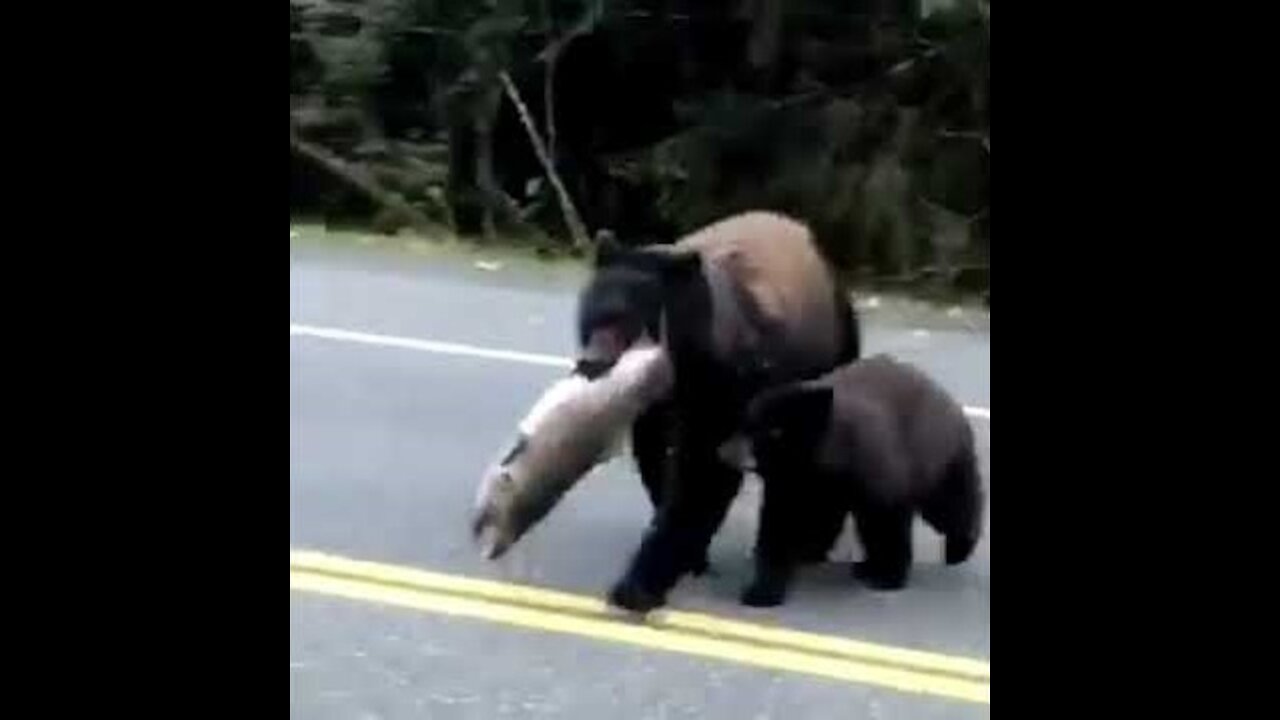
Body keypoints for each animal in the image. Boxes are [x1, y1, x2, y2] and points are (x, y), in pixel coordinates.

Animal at [573, 210, 860, 607]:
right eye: (595, 316)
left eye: (629, 322)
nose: (591, 363)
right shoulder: (663, 403)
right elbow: (664, 464)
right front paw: (676, 559)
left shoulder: (733, 387)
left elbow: (709, 473)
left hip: (835, 346)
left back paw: (811, 542)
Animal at [727, 353, 983, 604]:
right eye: (746, 423)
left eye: (774, 431)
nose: (727, 452)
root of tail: (945, 397)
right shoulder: (793, 481)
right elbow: (780, 521)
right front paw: (762, 589)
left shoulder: (874, 468)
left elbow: (889, 520)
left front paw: (887, 576)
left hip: (935, 457)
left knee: (949, 505)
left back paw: (958, 548)